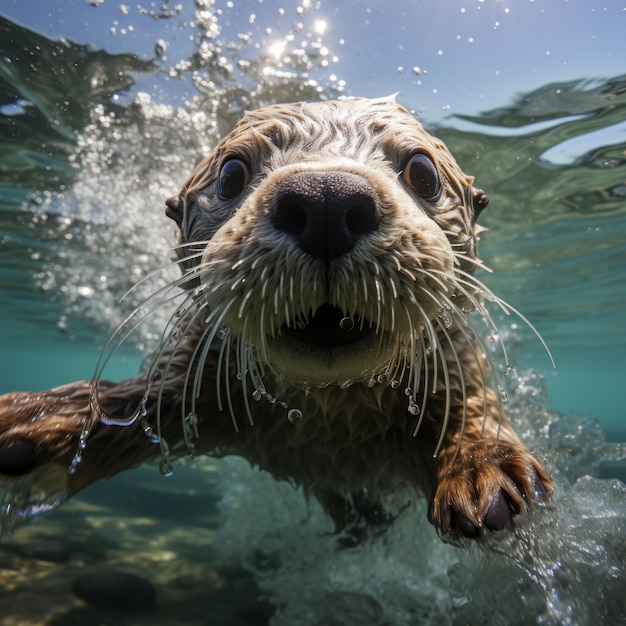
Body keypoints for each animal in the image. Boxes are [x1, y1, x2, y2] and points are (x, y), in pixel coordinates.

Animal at [0, 95, 552, 540]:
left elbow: (474, 404)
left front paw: (482, 473)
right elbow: (135, 401)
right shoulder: (194, 371)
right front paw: (38, 420)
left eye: (423, 172)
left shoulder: (455, 356)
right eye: (231, 175)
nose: (327, 197)